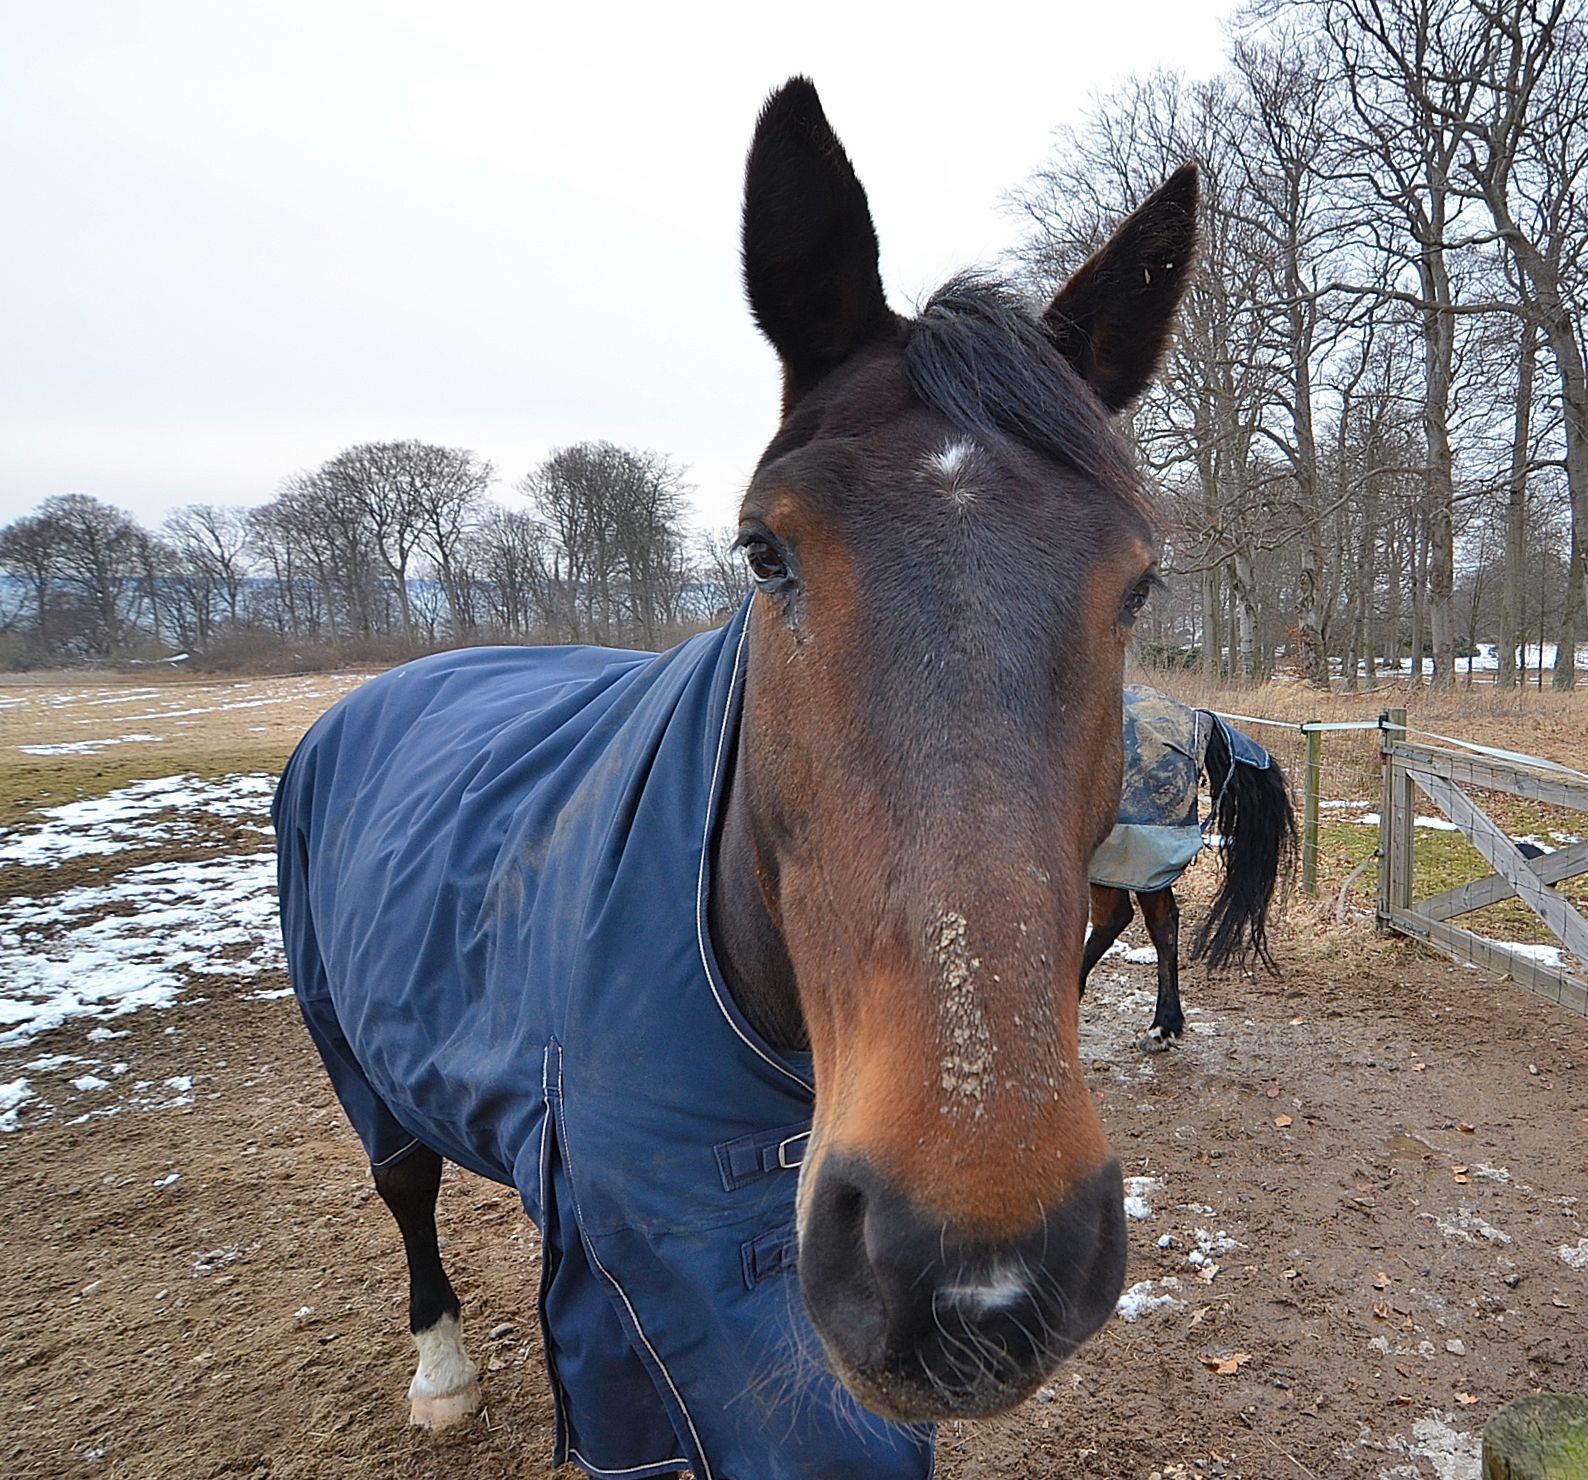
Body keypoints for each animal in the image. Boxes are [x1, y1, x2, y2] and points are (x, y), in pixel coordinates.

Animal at [273, 77, 1199, 1479]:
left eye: (1138, 585)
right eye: (765, 553)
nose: (977, 1273)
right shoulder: (632, 1331)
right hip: (353, 1053)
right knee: (405, 1184)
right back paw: (439, 1366)